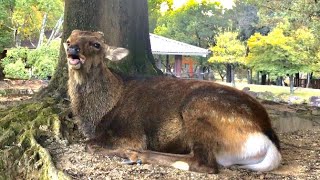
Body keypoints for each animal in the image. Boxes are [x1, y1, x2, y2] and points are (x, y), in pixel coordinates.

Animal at [66, 30, 282, 174]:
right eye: (69, 38)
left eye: (97, 44)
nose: (71, 48)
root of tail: (269, 140)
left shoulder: (130, 133)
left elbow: (89, 144)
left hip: (199, 108)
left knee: (203, 163)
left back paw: (136, 156)